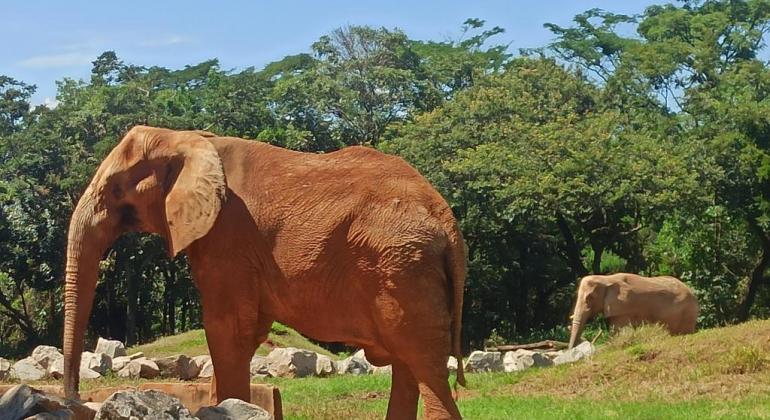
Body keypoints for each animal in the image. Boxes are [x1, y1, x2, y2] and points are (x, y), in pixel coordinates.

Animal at [63, 126, 464, 418]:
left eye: (116, 190)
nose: (77, 401)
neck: (187, 138)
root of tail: (448, 223)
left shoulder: (227, 236)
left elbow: (226, 329)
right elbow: (246, 331)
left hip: (402, 267)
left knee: (423, 365)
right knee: (408, 366)